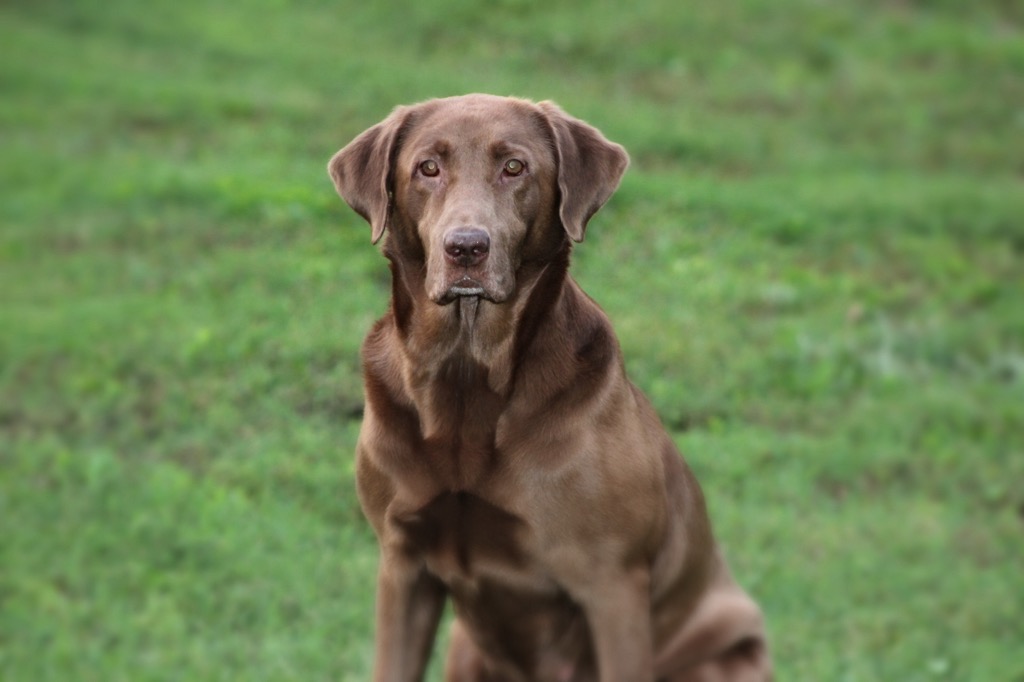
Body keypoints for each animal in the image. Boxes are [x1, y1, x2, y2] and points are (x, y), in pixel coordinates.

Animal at [327, 94, 770, 679]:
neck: (466, 377)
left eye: (515, 167)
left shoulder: (612, 582)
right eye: (428, 168)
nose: (466, 248)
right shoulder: (403, 566)